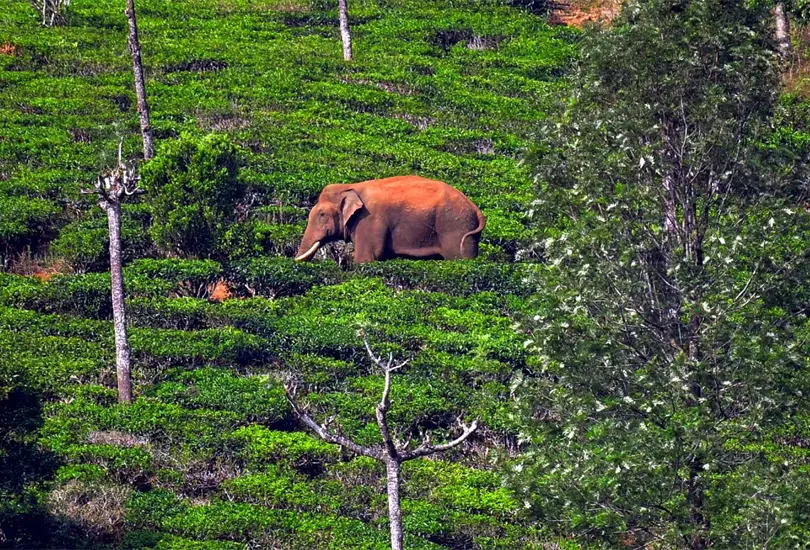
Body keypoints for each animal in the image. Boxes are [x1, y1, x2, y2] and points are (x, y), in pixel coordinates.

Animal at [294, 175, 486, 263]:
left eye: (322, 214)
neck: (350, 186)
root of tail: (476, 209)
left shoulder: (368, 221)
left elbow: (366, 258)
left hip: (455, 226)